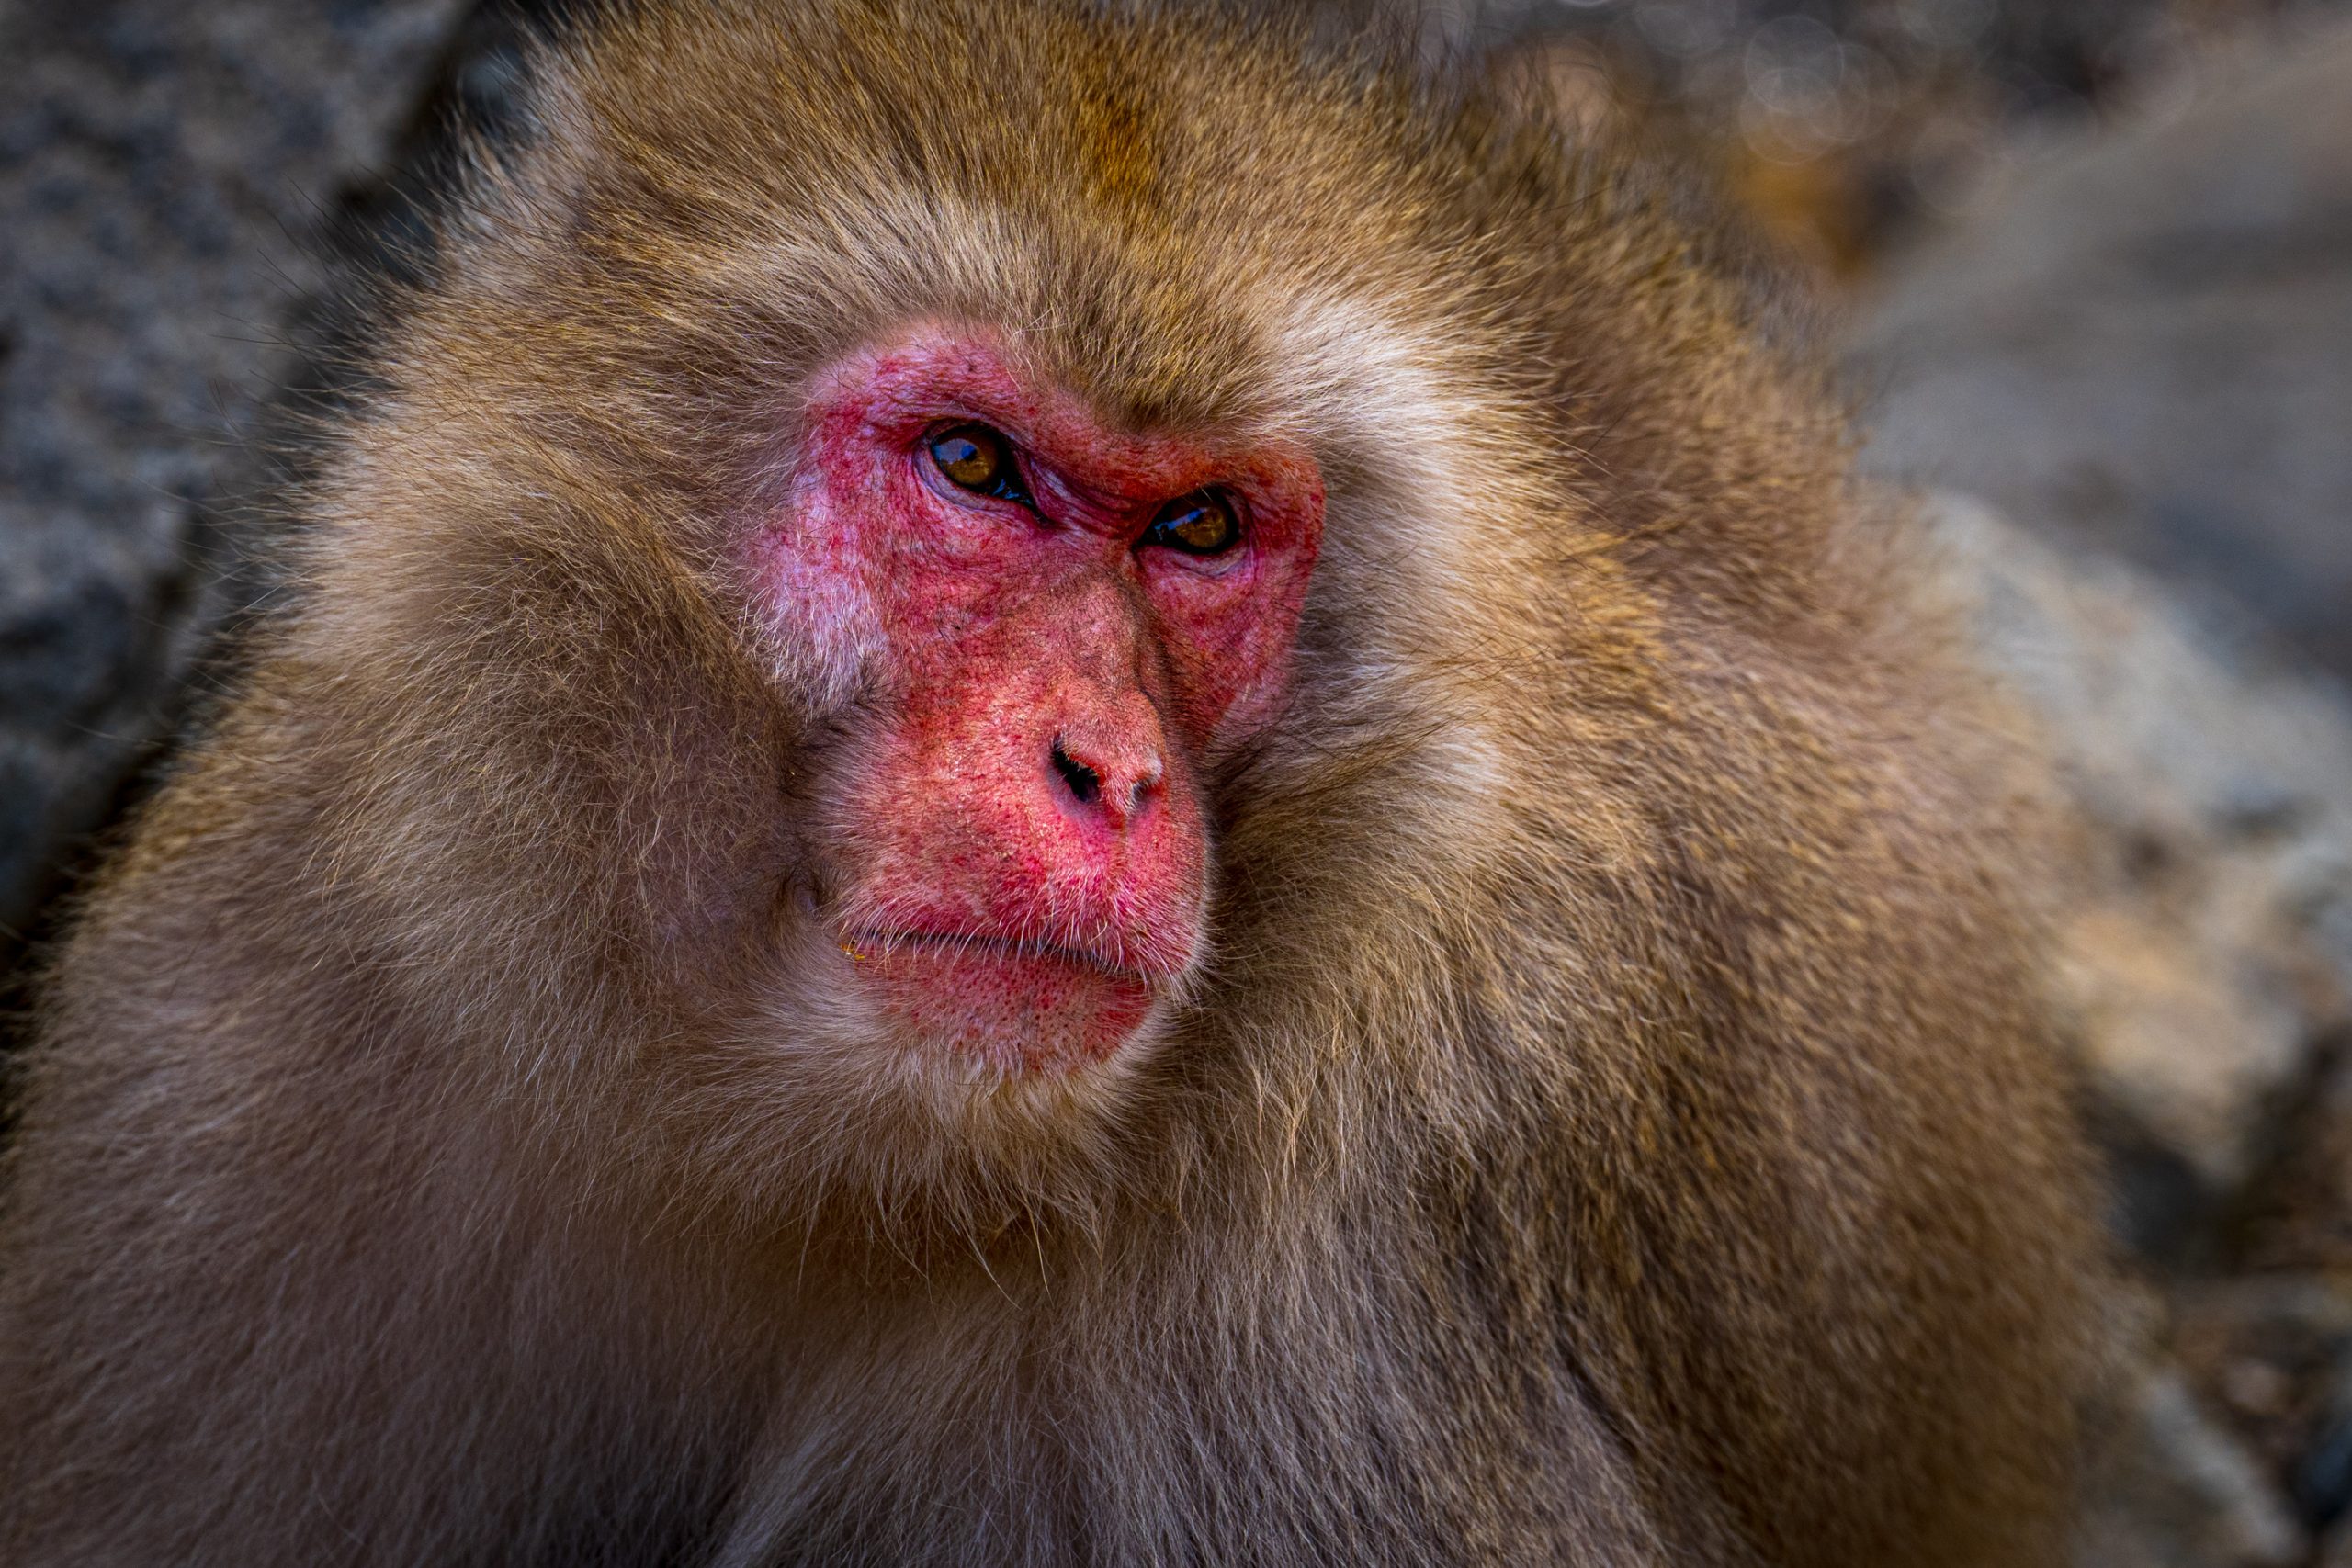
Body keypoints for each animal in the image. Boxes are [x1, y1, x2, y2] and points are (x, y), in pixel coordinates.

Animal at [0, 2, 2104, 1564]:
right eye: (972, 467)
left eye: (1200, 526)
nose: (1105, 770)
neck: (833, 1161)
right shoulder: (253, 1055)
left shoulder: (1306, 1341)